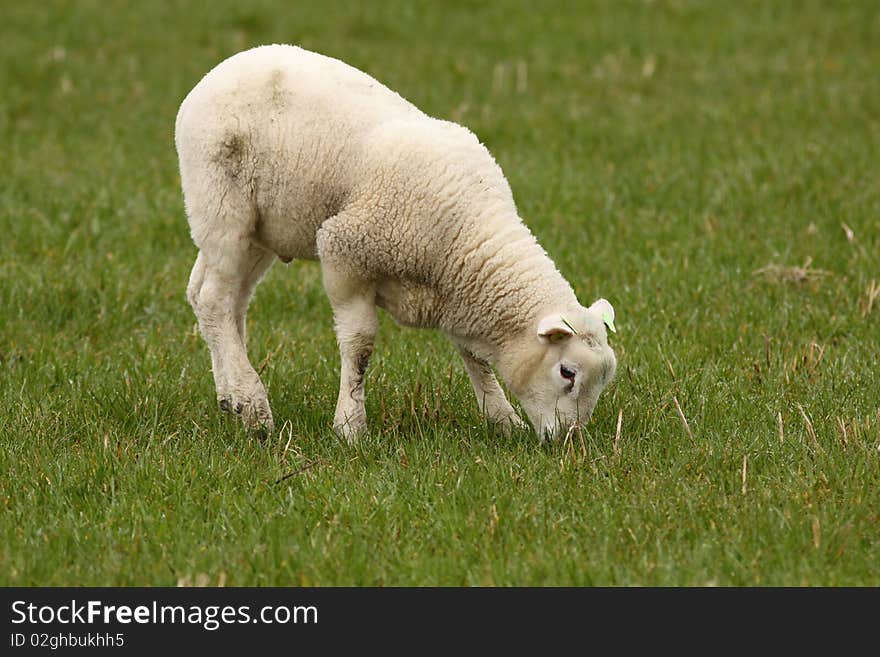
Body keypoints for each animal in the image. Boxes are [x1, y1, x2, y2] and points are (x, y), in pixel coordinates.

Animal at [174, 44, 620, 440]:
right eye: (567, 373)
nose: (571, 439)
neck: (466, 236)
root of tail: (221, 69)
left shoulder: (454, 293)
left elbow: (474, 357)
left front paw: (502, 419)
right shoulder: (344, 252)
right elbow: (359, 346)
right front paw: (350, 427)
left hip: (259, 232)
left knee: (218, 298)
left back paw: (230, 395)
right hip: (222, 207)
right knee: (215, 299)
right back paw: (253, 406)